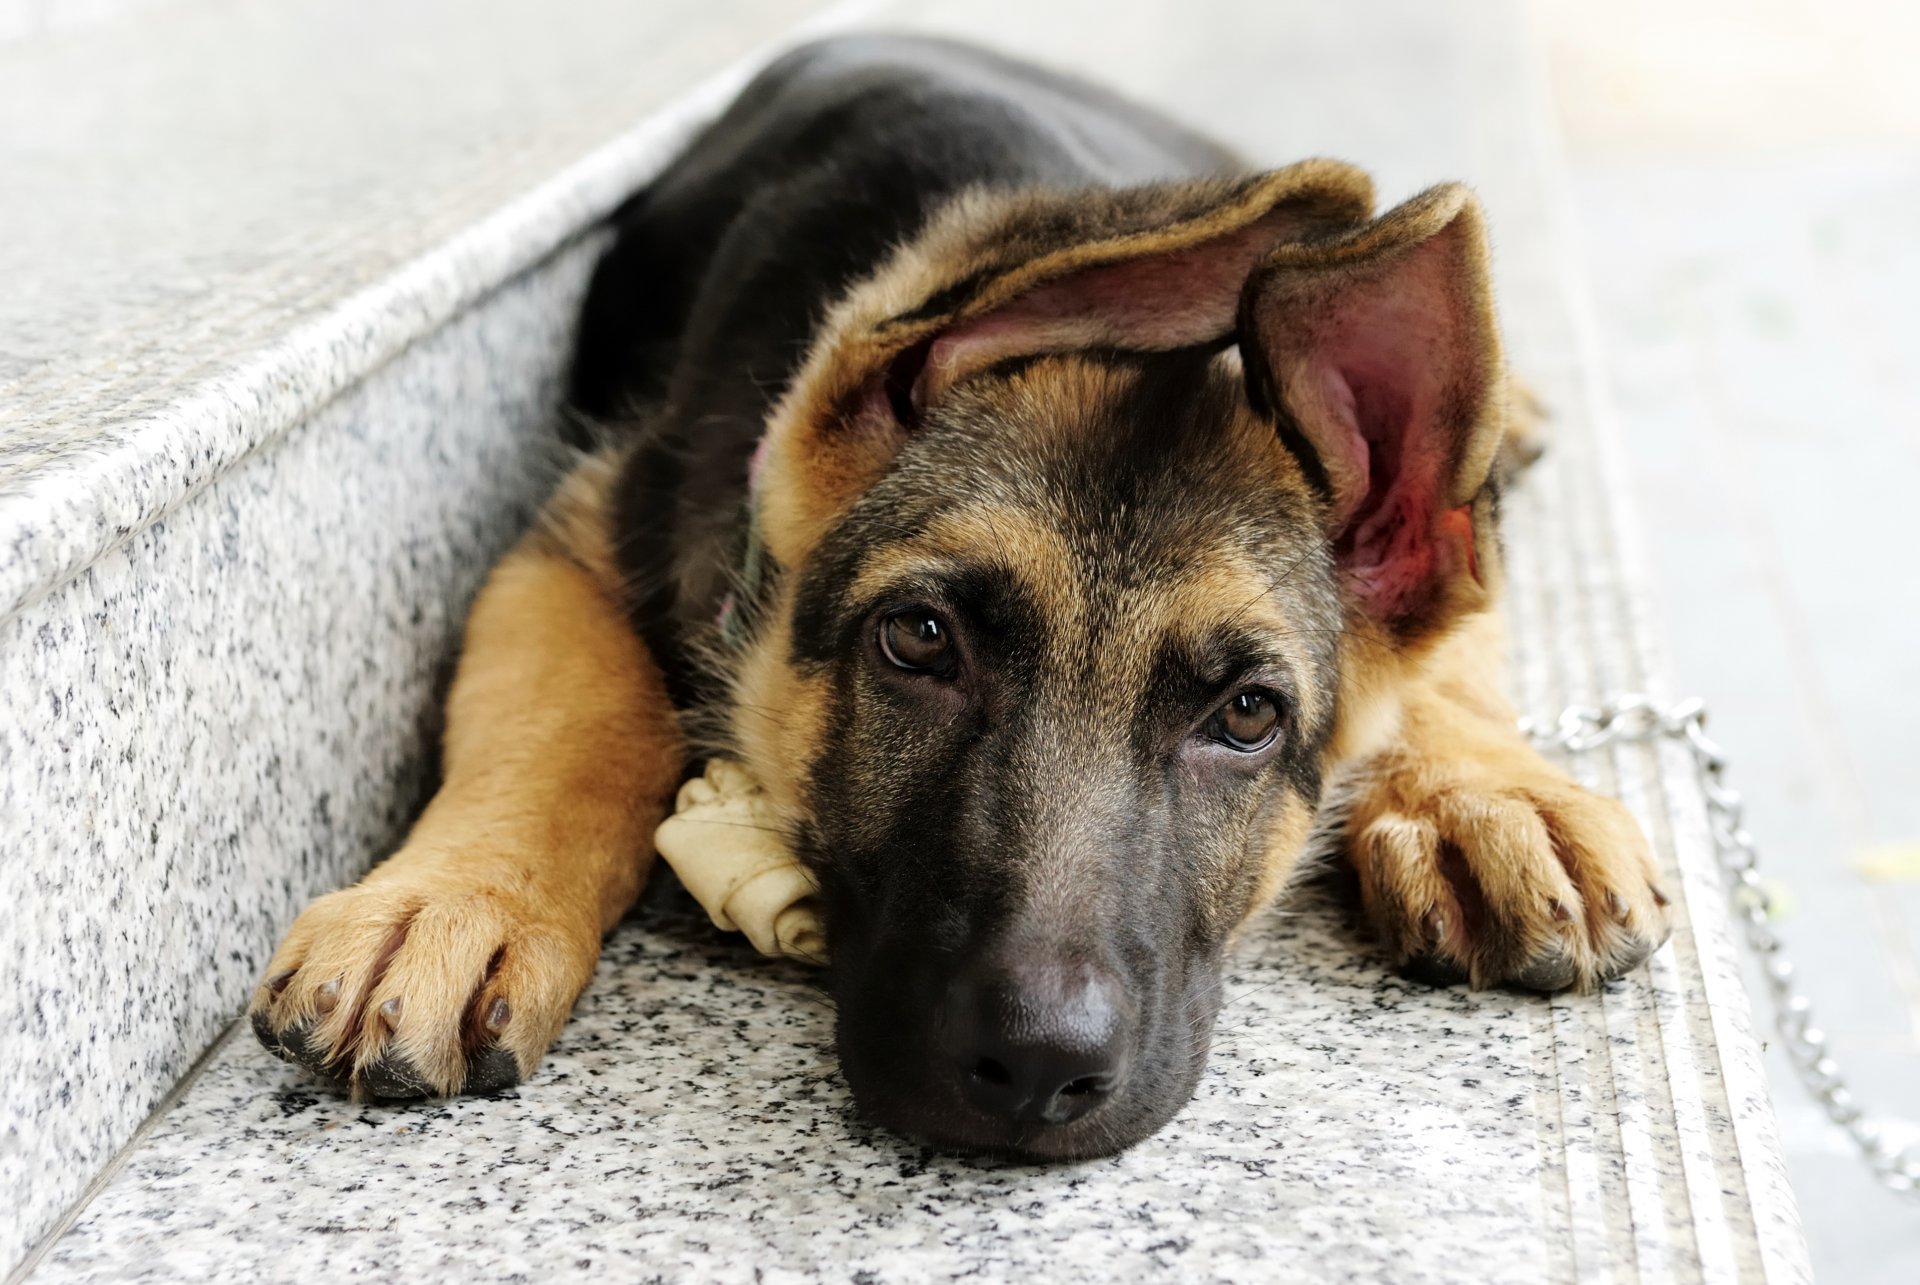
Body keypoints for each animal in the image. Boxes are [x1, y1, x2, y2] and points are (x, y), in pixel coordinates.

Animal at [251, 35, 1666, 1160]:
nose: (1039, 1070)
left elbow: (1448, 651)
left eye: (1250, 716)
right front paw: (453, 899)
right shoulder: (579, 530)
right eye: (918, 639)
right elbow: (567, 713)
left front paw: (1489, 793)